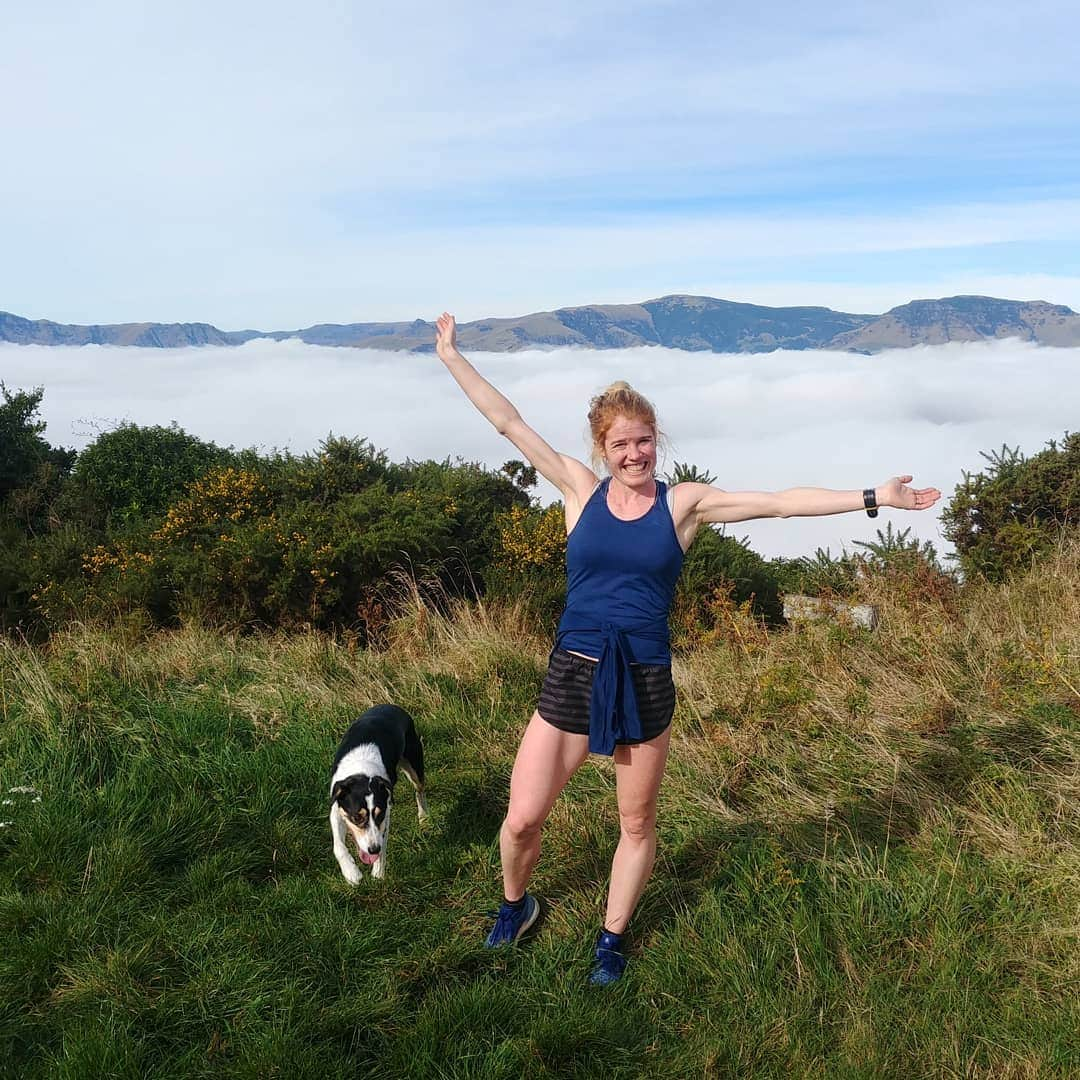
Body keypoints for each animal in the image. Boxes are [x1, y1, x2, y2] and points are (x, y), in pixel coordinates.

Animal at [328, 704, 425, 881]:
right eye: (357, 817)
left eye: (379, 815)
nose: (373, 850)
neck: (362, 771)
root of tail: (392, 705)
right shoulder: (337, 808)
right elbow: (338, 846)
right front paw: (352, 873)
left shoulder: (386, 812)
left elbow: (383, 842)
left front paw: (378, 873)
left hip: (414, 764)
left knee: (419, 790)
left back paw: (424, 818)